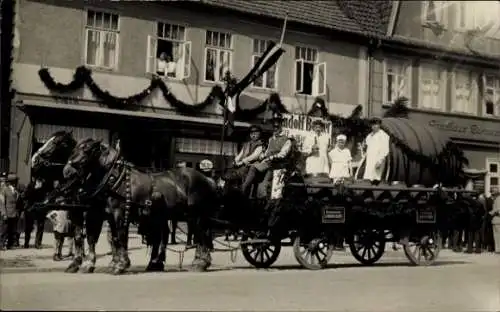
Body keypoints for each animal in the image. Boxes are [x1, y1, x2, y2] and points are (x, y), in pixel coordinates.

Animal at [61, 139, 218, 272]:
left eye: (86, 149)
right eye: (74, 148)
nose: (67, 172)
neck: (114, 179)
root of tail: (208, 179)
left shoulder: (119, 213)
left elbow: (120, 236)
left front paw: (121, 265)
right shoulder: (107, 215)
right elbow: (112, 238)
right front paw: (110, 263)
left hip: (195, 215)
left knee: (201, 235)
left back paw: (201, 263)